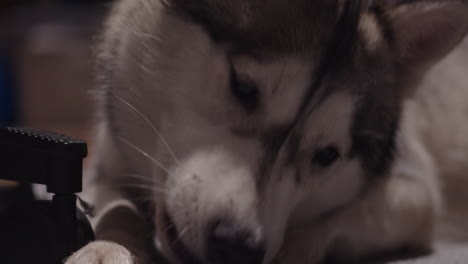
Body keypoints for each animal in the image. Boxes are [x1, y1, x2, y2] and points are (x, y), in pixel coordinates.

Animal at [66, 0, 468, 264]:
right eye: (243, 87)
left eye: (327, 156)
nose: (236, 248)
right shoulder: (109, 163)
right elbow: (115, 208)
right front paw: (104, 247)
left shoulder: (417, 191)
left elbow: (329, 220)